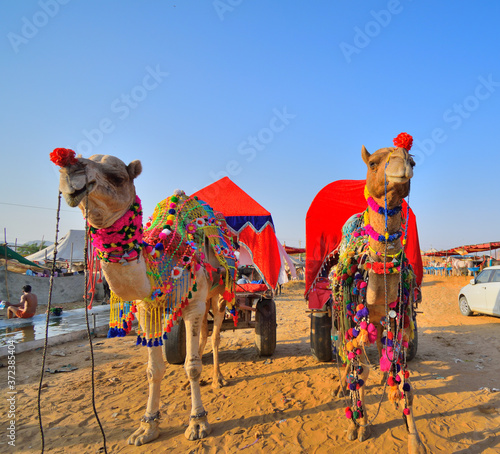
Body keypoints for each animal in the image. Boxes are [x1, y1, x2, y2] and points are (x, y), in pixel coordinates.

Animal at [49, 147, 237, 446]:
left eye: (117, 177)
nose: (69, 170)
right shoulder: (149, 307)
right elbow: (154, 369)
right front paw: (146, 427)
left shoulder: (194, 303)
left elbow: (192, 366)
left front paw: (198, 423)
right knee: (204, 337)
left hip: (219, 292)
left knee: (216, 332)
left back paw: (218, 378)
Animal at [332, 133, 426, 452]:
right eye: (373, 163)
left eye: (412, 162)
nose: (401, 162)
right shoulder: (354, 319)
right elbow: (358, 370)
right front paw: (356, 426)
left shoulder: (396, 318)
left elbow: (404, 381)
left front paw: (415, 439)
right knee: (345, 355)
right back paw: (340, 387)